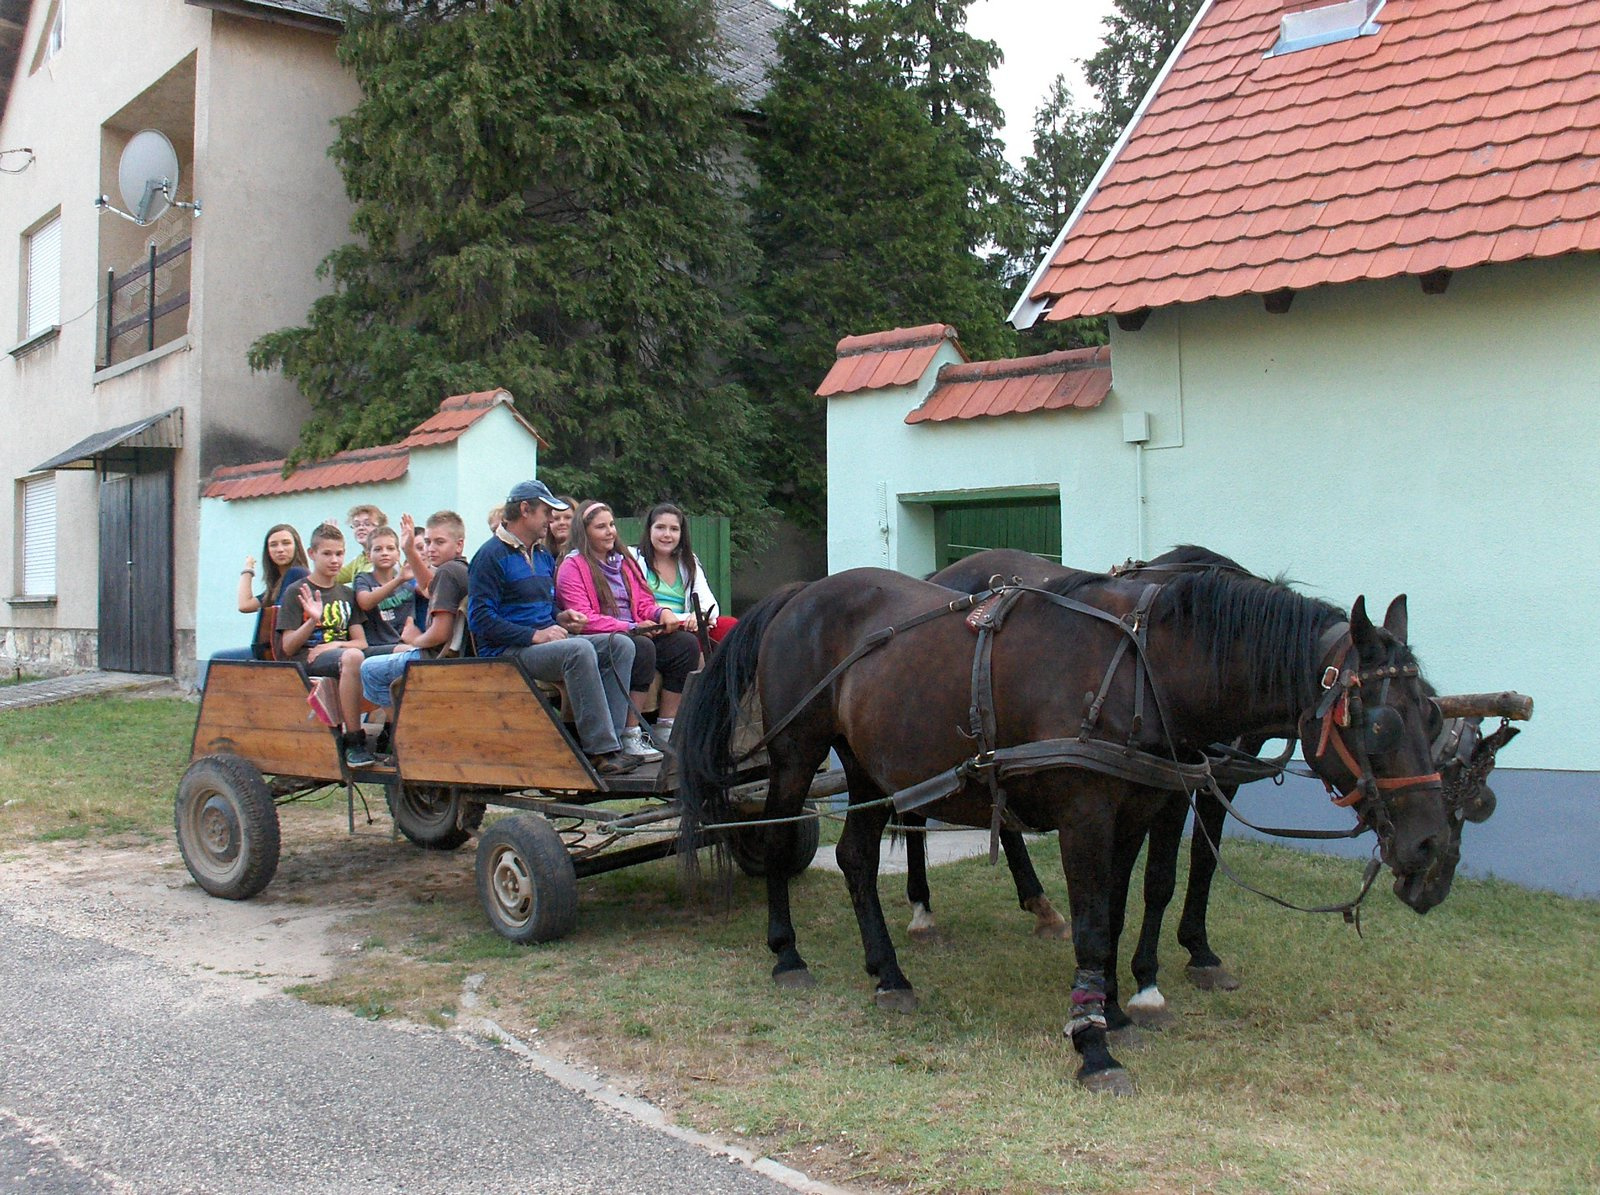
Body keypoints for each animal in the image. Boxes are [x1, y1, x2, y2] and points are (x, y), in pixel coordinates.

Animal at [675, 563, 1452, 1094]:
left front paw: (1113, 1005)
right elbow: (1091, 921)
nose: (1431, 849)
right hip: (797, 753)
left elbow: (1119, 909)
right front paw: (1093, 1044)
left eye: (1435, 713)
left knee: (858, 859)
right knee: (782, 840)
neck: (1144, 670)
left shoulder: (1136, 813)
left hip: (870, 766)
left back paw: (889, 973)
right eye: (1379, 724)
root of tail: (800, 593)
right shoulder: (1085, 817)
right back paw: (787, 955)